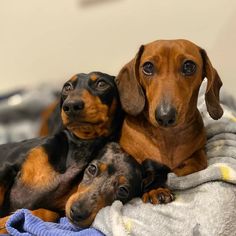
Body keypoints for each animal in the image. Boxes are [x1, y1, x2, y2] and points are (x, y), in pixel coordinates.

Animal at [0, 71, 121, 232]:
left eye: (101, 84)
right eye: (67, 87)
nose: (71, 105)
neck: (79, 149)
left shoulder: (61, 209)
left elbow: (48, 214)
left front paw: (5, 222)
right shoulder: (6, 167)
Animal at [115, 38, 223, 203]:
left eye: (189, 66)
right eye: (148, 67)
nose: (165, 116)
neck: (168, 136)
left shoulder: (199, 154)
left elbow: (191, 167)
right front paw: (156, 188)